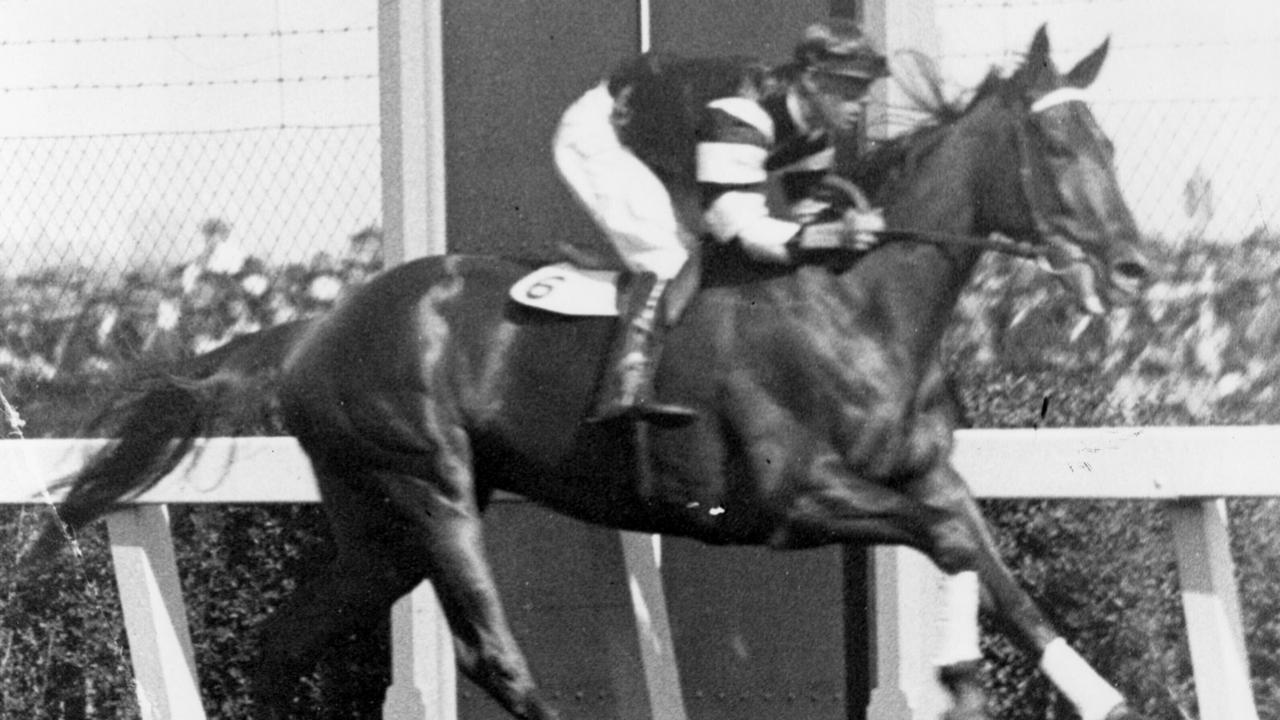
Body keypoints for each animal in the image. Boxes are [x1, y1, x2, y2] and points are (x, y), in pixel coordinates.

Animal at [47, 26, 1152, 717]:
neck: (855, 300)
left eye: (1109, 140)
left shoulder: (926, 474)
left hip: (377, 525)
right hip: (428, 486)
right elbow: (953, 547)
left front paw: (1095, 693)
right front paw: (964, 676)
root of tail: (317, 326)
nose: (1135, 265)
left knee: (285, 643)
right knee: (490, 655)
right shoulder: (791, 500)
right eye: (1057, 142)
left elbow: (992, 565)